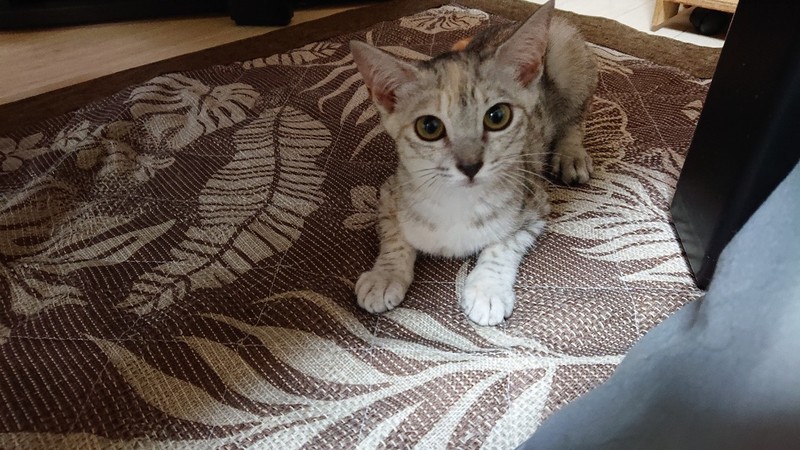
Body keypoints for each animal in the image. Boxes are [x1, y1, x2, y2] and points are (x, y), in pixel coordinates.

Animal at [350, 0, 597, 325]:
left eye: (497, 116)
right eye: (429, 127)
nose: (470, 165)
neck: (457, 203)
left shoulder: (534, 202)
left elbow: (503, 244)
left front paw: (487, 289)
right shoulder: (391, 191)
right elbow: (394, 235)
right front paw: (385, 276)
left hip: (568, 52)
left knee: (575, 116)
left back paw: (571, 155)